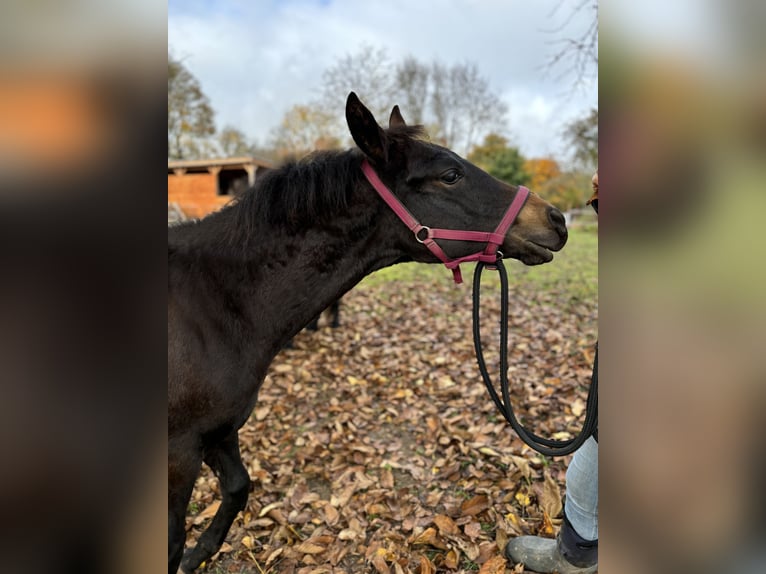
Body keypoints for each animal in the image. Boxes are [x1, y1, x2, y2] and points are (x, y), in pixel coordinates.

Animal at [170, 92, 568, 572]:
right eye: (450, 175)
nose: (557, 220)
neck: (214, 300)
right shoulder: (179, 452)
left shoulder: (219, 432)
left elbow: (236, 489)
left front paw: (199, 554)